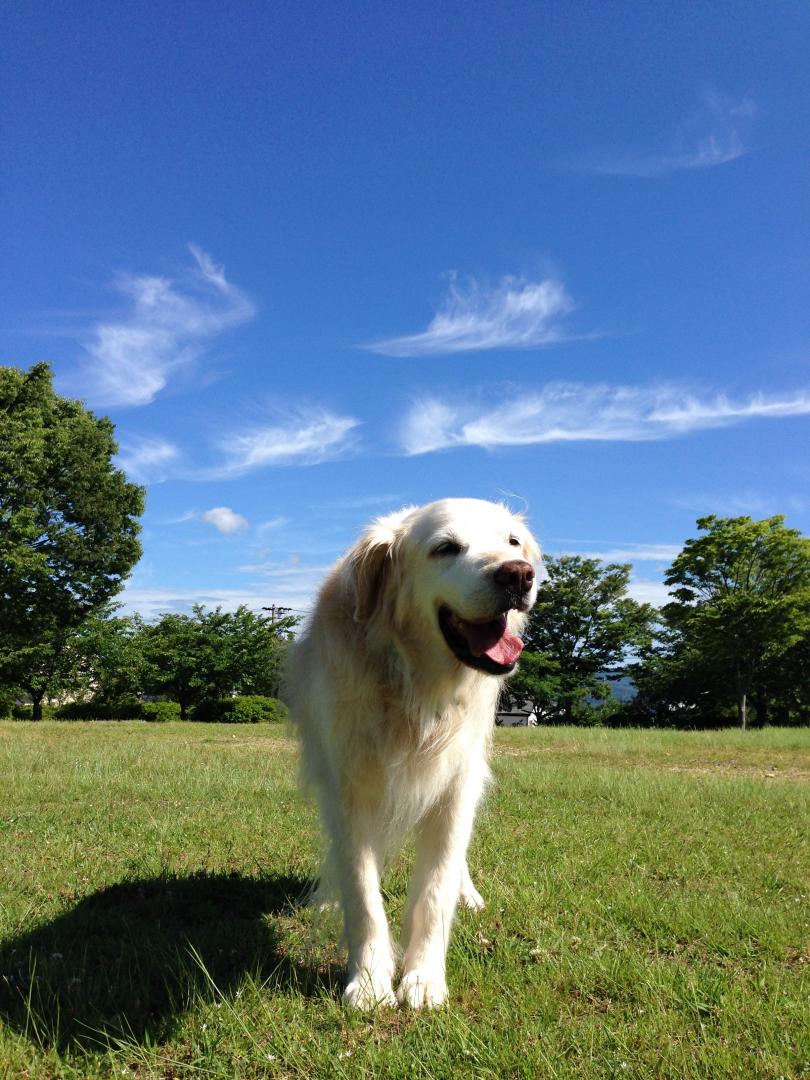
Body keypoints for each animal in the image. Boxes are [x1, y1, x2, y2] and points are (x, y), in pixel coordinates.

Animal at [289, 501, 542, 1006]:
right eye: (445, 548)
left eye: (512, 542)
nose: (519, 575)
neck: (415, 683)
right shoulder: (347, 785)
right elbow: (361, 890)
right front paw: (368, 981)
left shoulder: (458, 781)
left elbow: (436, 888)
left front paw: (423, 978)